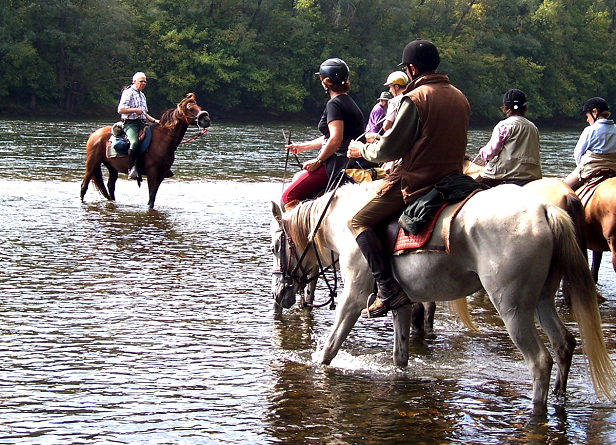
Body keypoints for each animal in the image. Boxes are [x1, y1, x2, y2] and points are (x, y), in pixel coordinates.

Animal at [80, 91, 209, 208]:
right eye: (190, 108)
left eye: (199, 107)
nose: (206, 119)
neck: (163, 141)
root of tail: (93, 135)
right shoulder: (152, 172)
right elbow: (151, 196)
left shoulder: (162, 173)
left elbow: (154, 195)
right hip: (92, 164)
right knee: (84, 186)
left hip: (112, 167)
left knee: (110, 187)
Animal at [272, 179, 616, 412]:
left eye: (277, 246)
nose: (279, 294)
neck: (345, 222)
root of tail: (545, 209)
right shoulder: (402, 303)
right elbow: (400, 356)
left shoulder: (353, 298)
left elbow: (330, 349)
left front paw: (318, 364)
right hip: (542, 301)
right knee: (563, 344)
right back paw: (559, 397)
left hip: (513, 308)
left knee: (540, 362)